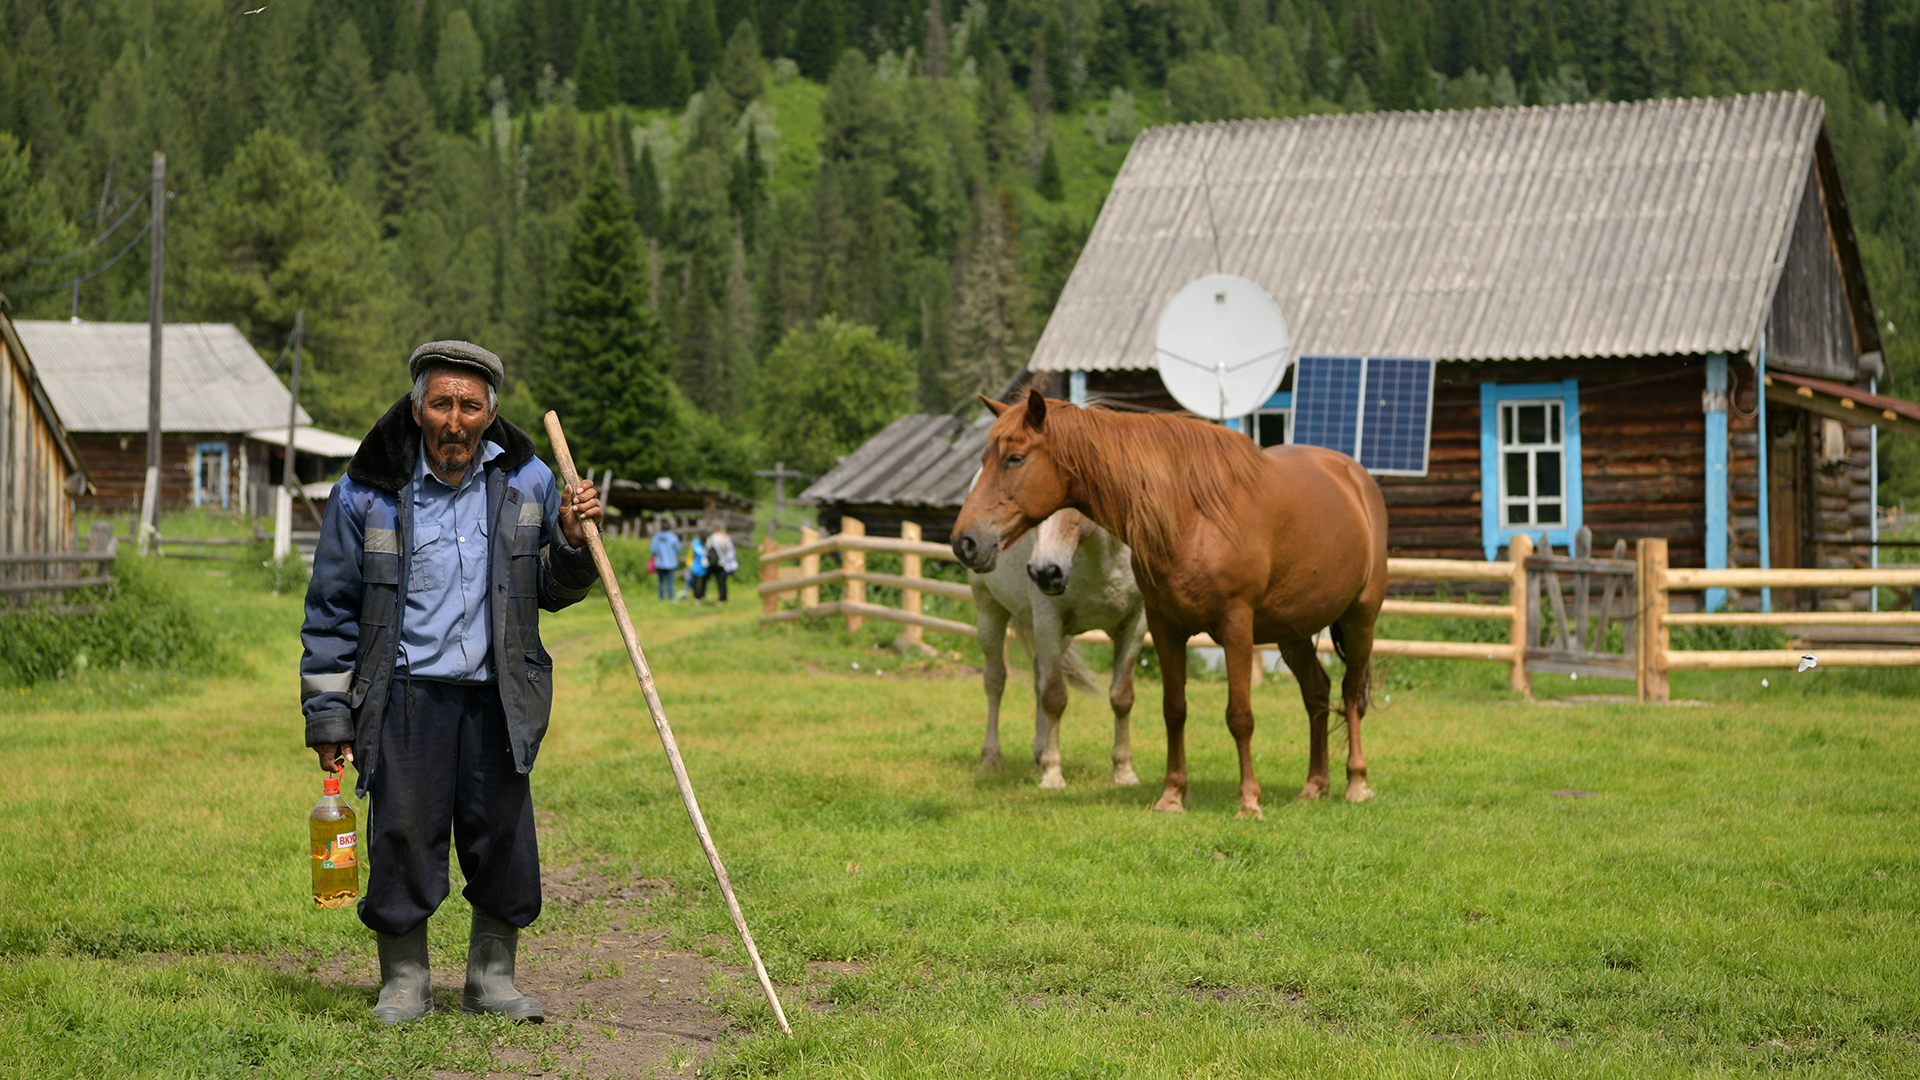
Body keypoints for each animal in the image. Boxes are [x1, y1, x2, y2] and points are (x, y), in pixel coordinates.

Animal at [967, 503, 1144, 780]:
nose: (1045, 573)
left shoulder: (1135, 624)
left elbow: (1121, 697)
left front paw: (1124, 772)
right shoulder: (1048, 620)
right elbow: (1054, 697)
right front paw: (1052, 774)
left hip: (1062, 638)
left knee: (1039, 678)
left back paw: (1039, 753)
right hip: (989, 610)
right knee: (995, 681)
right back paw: (990, 760)